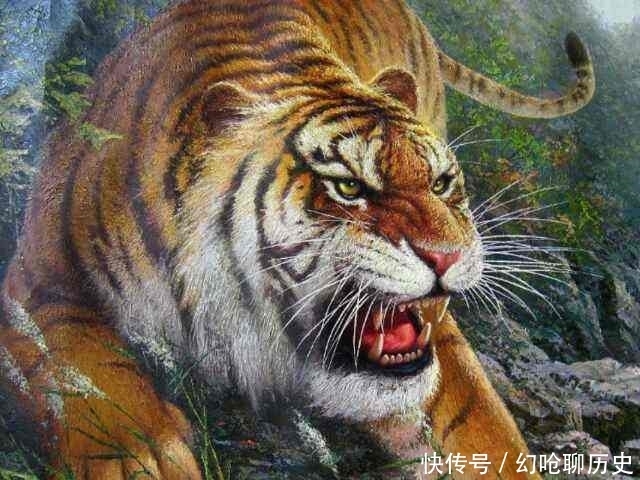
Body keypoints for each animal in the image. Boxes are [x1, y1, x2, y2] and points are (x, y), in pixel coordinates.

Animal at [0, 0, 595, 478]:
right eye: (348, 186)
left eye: (440, 183)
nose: (447, 257)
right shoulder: (37, 279)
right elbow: (82, 363)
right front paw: (138, 461)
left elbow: (478, 422)